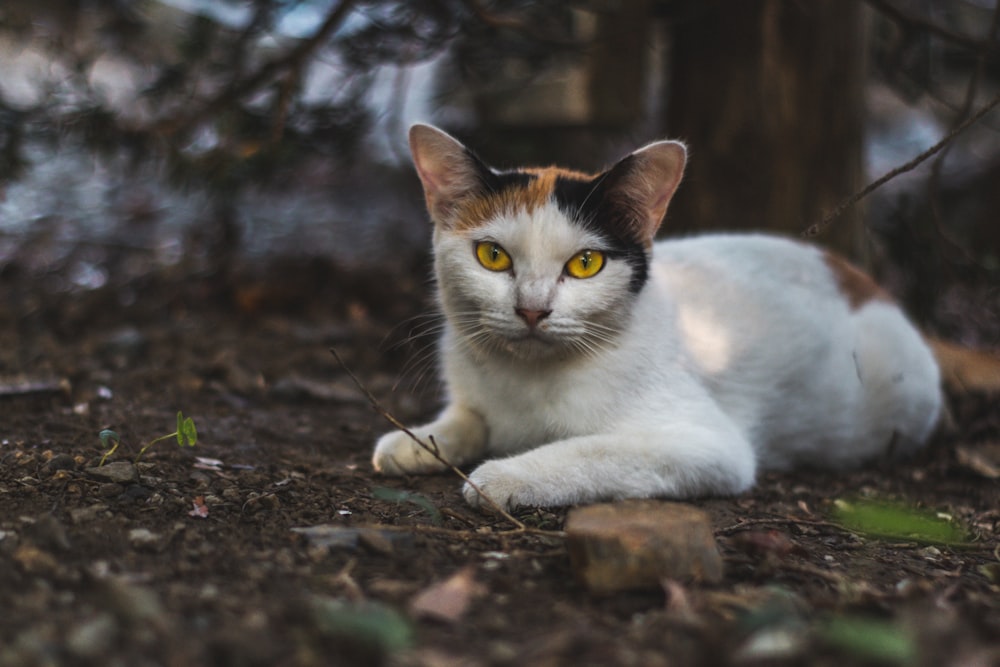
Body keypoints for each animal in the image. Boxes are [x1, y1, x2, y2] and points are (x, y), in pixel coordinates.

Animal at [374, 125, 992, 512]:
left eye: (585, 263)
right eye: (493, 256)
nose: (531, 309)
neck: (523, 381)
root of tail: (867, 283)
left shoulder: (708, 447)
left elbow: (592, 451)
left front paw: (505, 475)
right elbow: (469, 418)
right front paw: (418, 439)